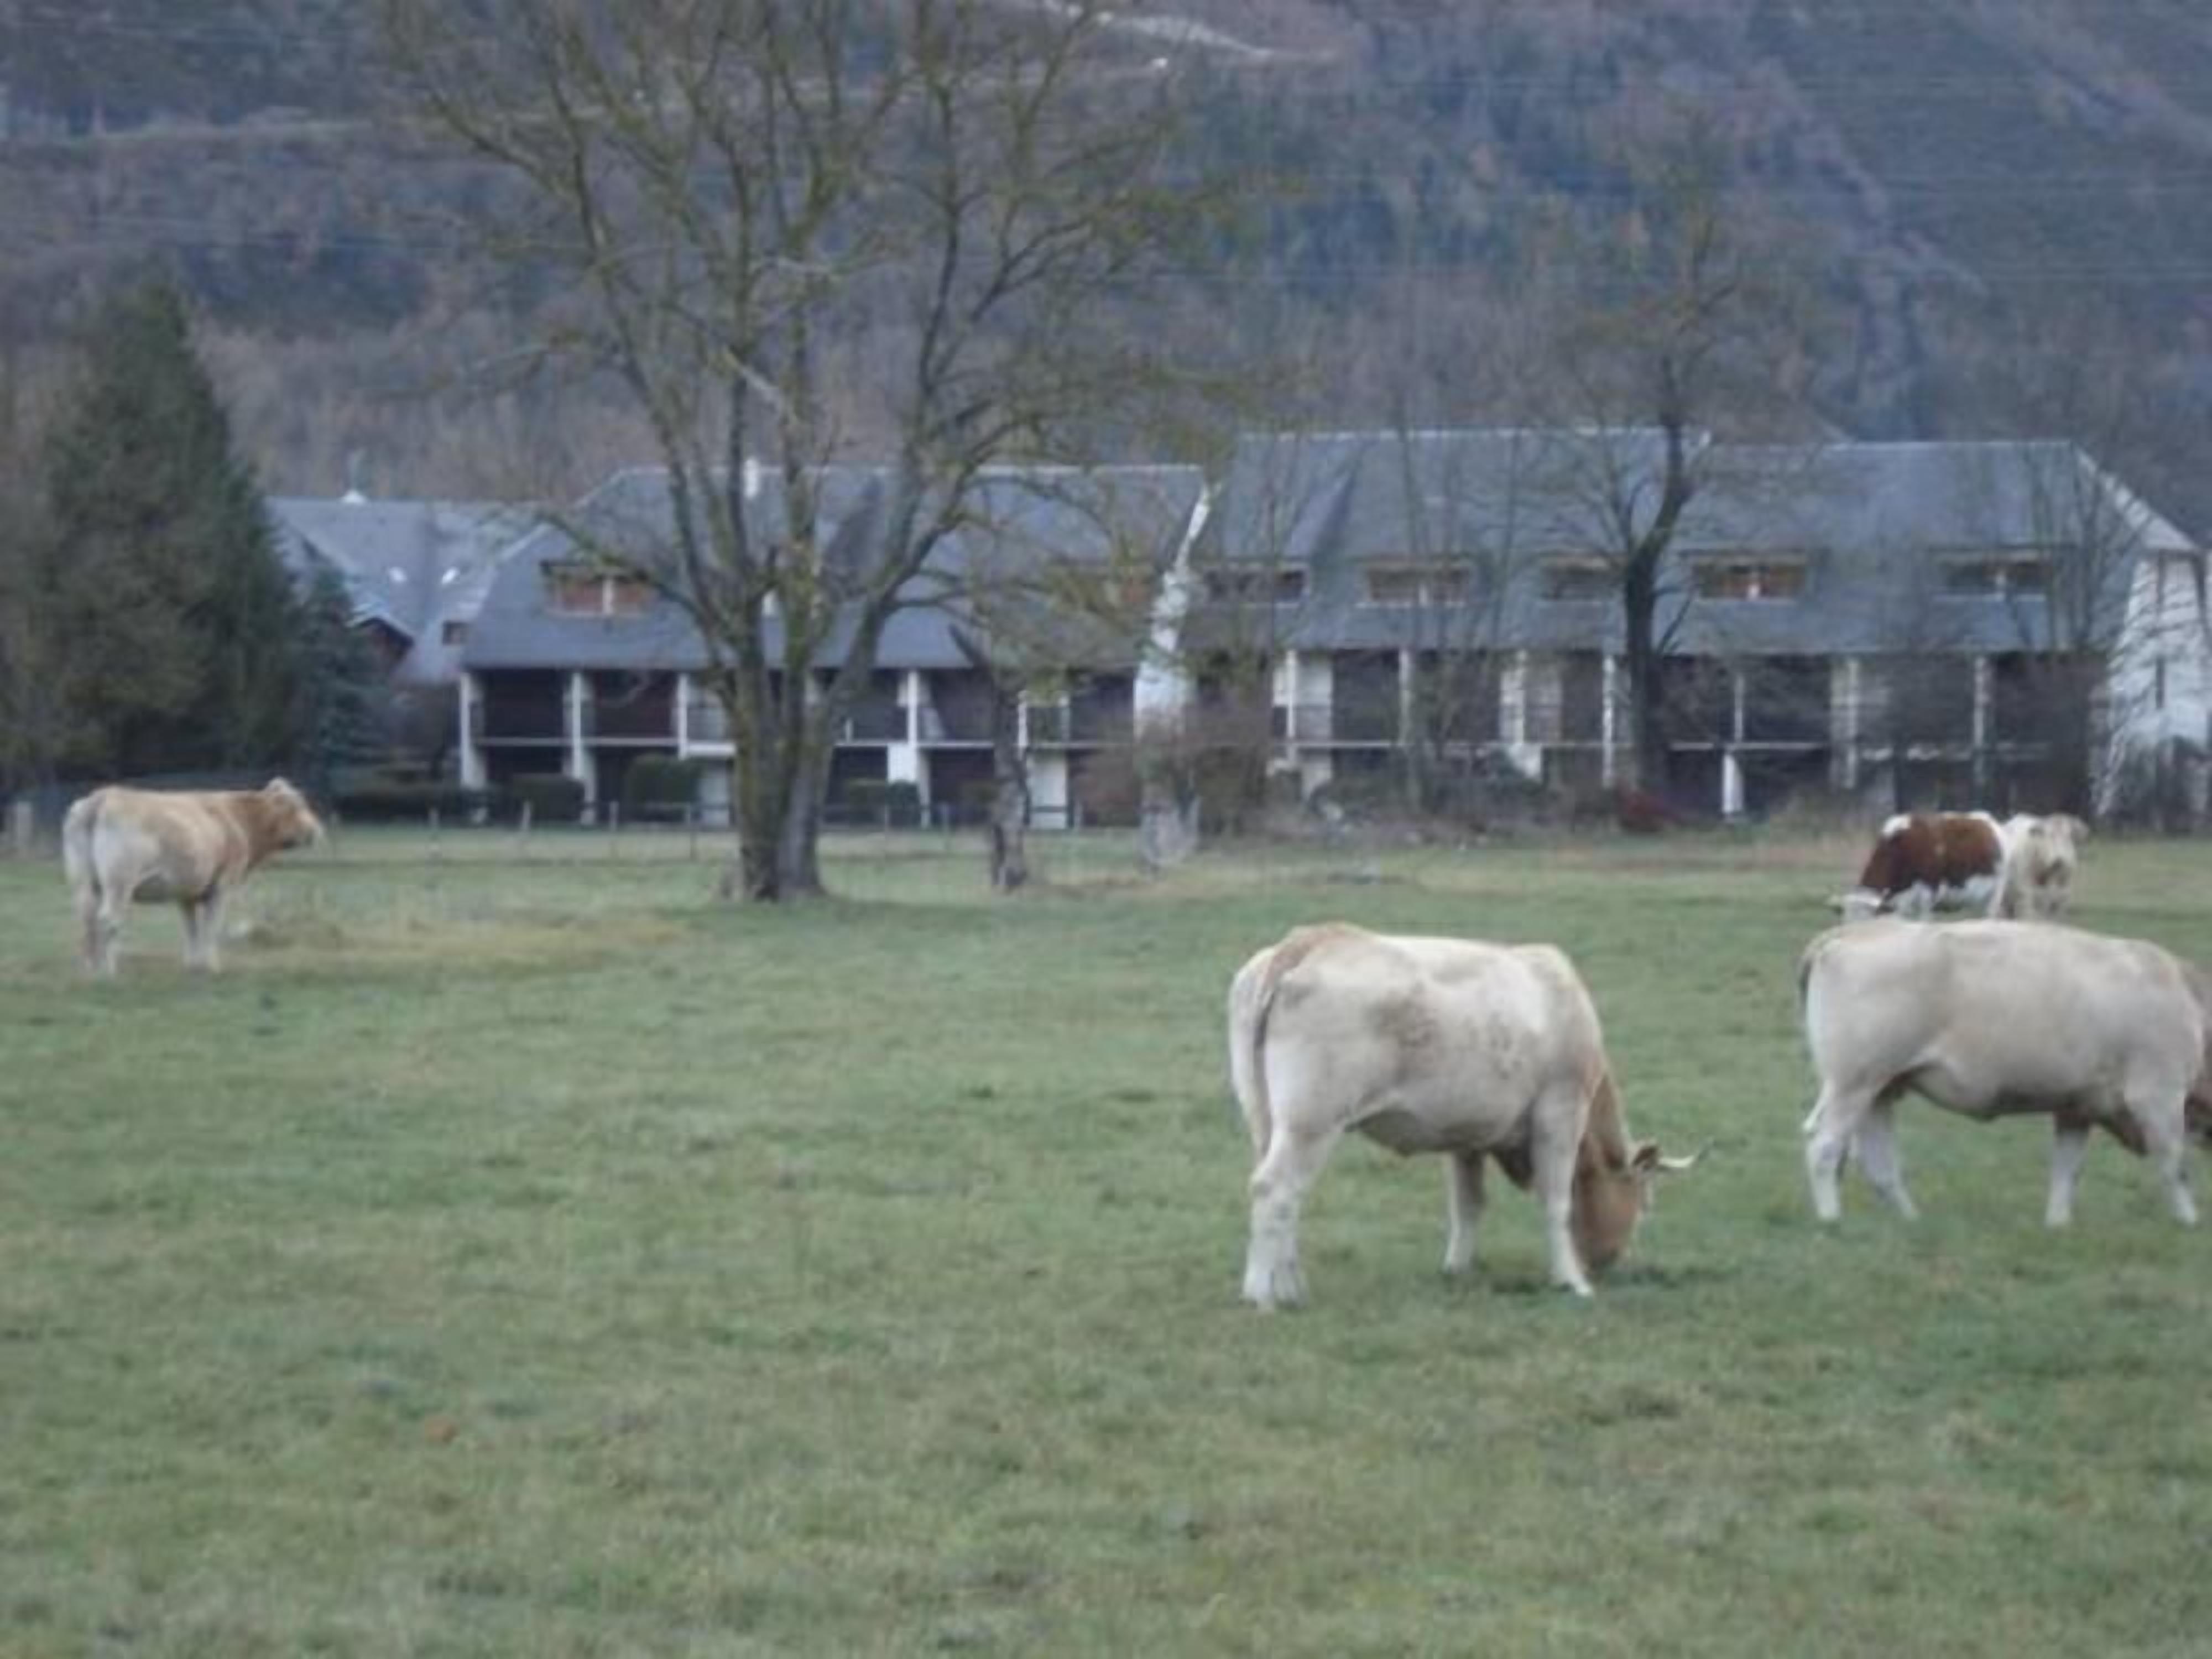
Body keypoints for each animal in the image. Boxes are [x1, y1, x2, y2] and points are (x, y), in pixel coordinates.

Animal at [63, 779, 325, 976]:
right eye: (297, 806)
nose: (316, 830)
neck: (237, 818)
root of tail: (104, 796)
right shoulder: (222, 886)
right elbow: (211, 927)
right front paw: (211, 967)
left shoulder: (186, 889)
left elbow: (191, 928)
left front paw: (193, 964)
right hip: (119, 882)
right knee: (108, 919)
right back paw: (108, 972)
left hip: (84, 883)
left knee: (87, 918)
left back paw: (90, 970)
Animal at [1227, 923, 1699, 1308]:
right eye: (1644, 1203)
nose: (1612, 1262)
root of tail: (1313, 939)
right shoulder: (1560, 1115)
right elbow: (1557, 1202)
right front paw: (1571, 1281)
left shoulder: (1467, 1138)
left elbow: (1468, 1204)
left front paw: (1456, 1269)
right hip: (1311, 1123)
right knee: (1275, 1188)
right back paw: (1261, 1293)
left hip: (1267, 1122)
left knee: (1286, 1196)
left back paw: (1290, 1287)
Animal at [1799, 918, 2212, 1228]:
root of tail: (1855, 931)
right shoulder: (2158, 1095)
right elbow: (2174, 1163)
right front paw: (2189, 1222)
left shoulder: (2077, 1107)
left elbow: (2067, 1171)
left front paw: (2058, 1224)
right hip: (1852, 1085)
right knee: (1824, 1148)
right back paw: (1831, 1219)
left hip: (1880, 1090)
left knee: (1879, 1165)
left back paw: (1910, 1220)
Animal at [1838, 811, 2006, 921]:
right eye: (1847, 918)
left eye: (1865, 916)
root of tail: (1989, 822)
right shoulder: (1901, 895)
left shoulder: (1929, 889)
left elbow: (1924, 917)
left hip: (1997, 890)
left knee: (1991, 912)